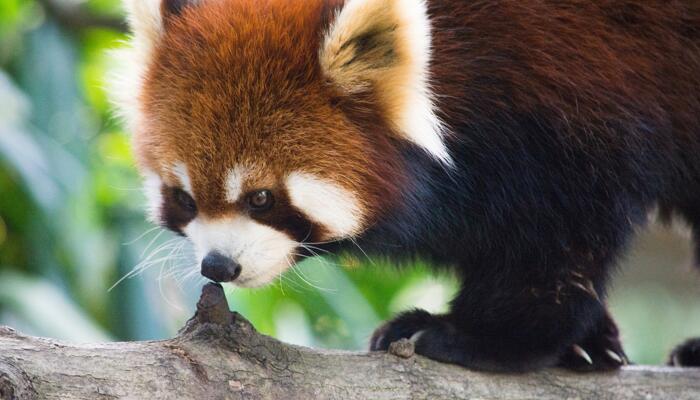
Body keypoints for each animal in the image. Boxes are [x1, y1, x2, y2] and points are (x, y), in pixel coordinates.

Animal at [109, 0, 700, 374]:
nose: (218, 267)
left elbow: (558, 244)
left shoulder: (572, 95)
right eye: (184, 199)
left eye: (261, 197)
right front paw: (590, 343)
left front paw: (484, 337)